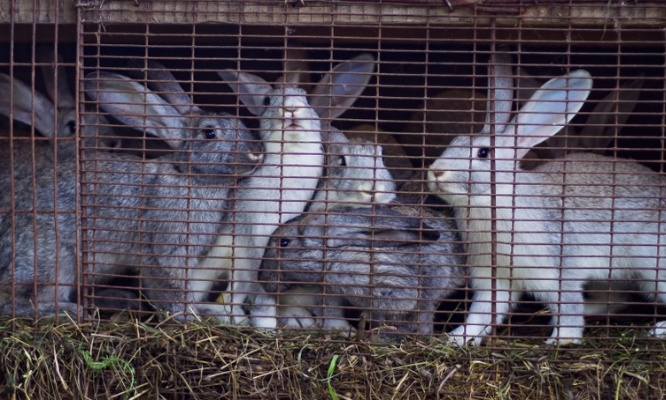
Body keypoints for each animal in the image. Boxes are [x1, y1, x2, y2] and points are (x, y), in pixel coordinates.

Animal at [0, 70, 262, 318]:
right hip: (54, 261)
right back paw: (70, 311)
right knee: (15, 299)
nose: (256, 152)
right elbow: (171, 289)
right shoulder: (164, 251)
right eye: (209, 133)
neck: (189, 176)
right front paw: (187, 316)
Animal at [428, 68, 666, 346]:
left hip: (653, 270)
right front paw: (457, 338)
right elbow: (483, 313)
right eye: (454, 141)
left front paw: (562, 341)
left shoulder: (557, 270)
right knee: (617, 301)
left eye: (483, 153)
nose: (435, 171)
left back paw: (658, 330)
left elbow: (568, 307)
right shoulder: (494, 277)